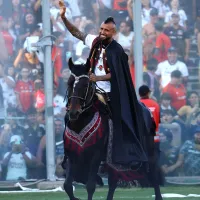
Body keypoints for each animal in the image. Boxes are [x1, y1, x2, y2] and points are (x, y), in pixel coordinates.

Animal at [63, 58, 163, 200]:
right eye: (69, 83)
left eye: (86, 85)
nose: (73, 113)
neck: (81, 123)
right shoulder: (72, 154)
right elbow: (67, 185)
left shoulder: (96, 155)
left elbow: (90, 185)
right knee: (113, 181)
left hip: (149, 151)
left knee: (154, 176)